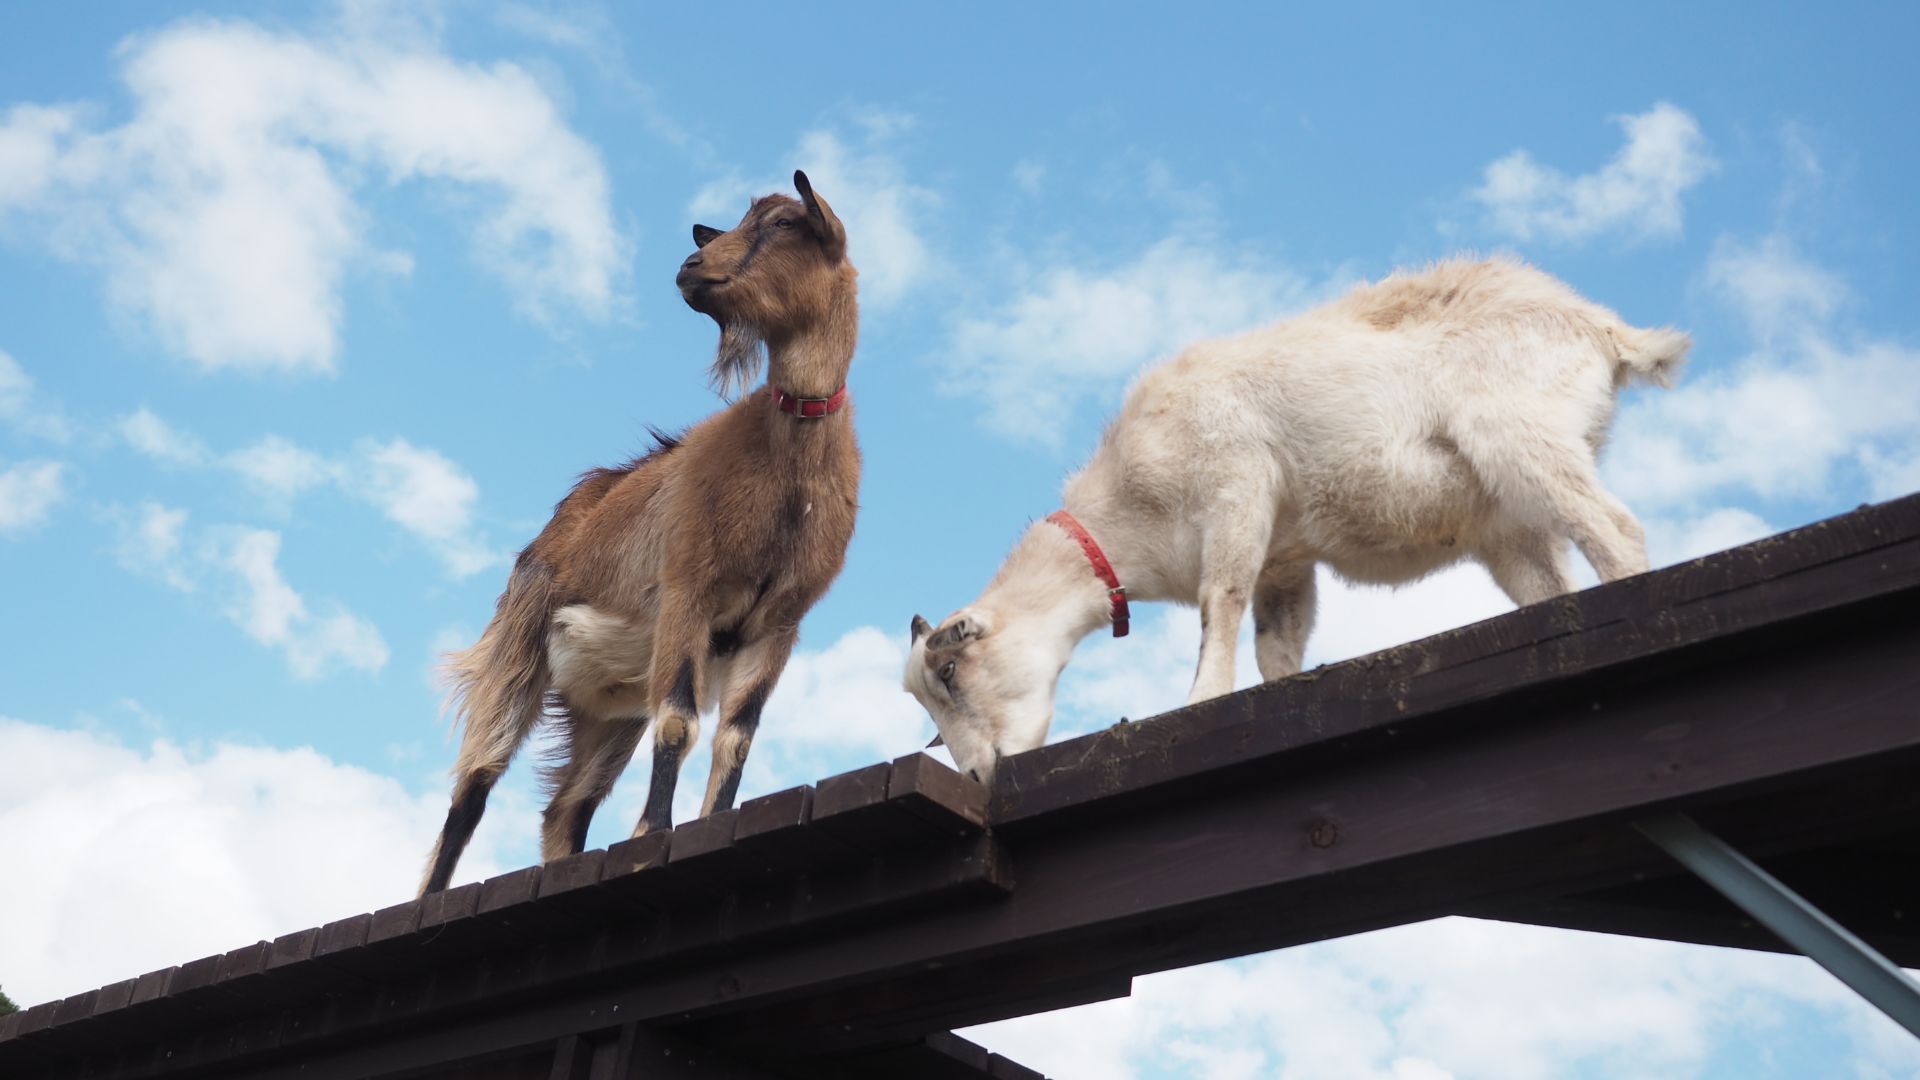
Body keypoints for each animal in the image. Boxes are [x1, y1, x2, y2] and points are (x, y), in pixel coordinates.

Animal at [430, 168, 871, 891]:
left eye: (785, 223)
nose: (691, 267)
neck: (787, 480)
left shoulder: (778, 625)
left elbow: (734, 739)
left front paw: (709, 823)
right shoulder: (688, 592)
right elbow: (679, 725)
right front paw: (650, 834)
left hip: (610, 705)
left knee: (567, 807)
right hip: (519, 645)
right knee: (473, 788)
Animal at [906, 255, 1689, 776]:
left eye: (950, 672)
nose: (980, 773)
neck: (1129, 511)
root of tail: (1602, 328)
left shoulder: (1236, 488)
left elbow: (1218, 601)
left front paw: (1197, 698)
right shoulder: (1285, 561)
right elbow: (1276, 647)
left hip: (1521, 432)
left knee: (1617, 530)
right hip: (1510, 522)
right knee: (1555, 580)